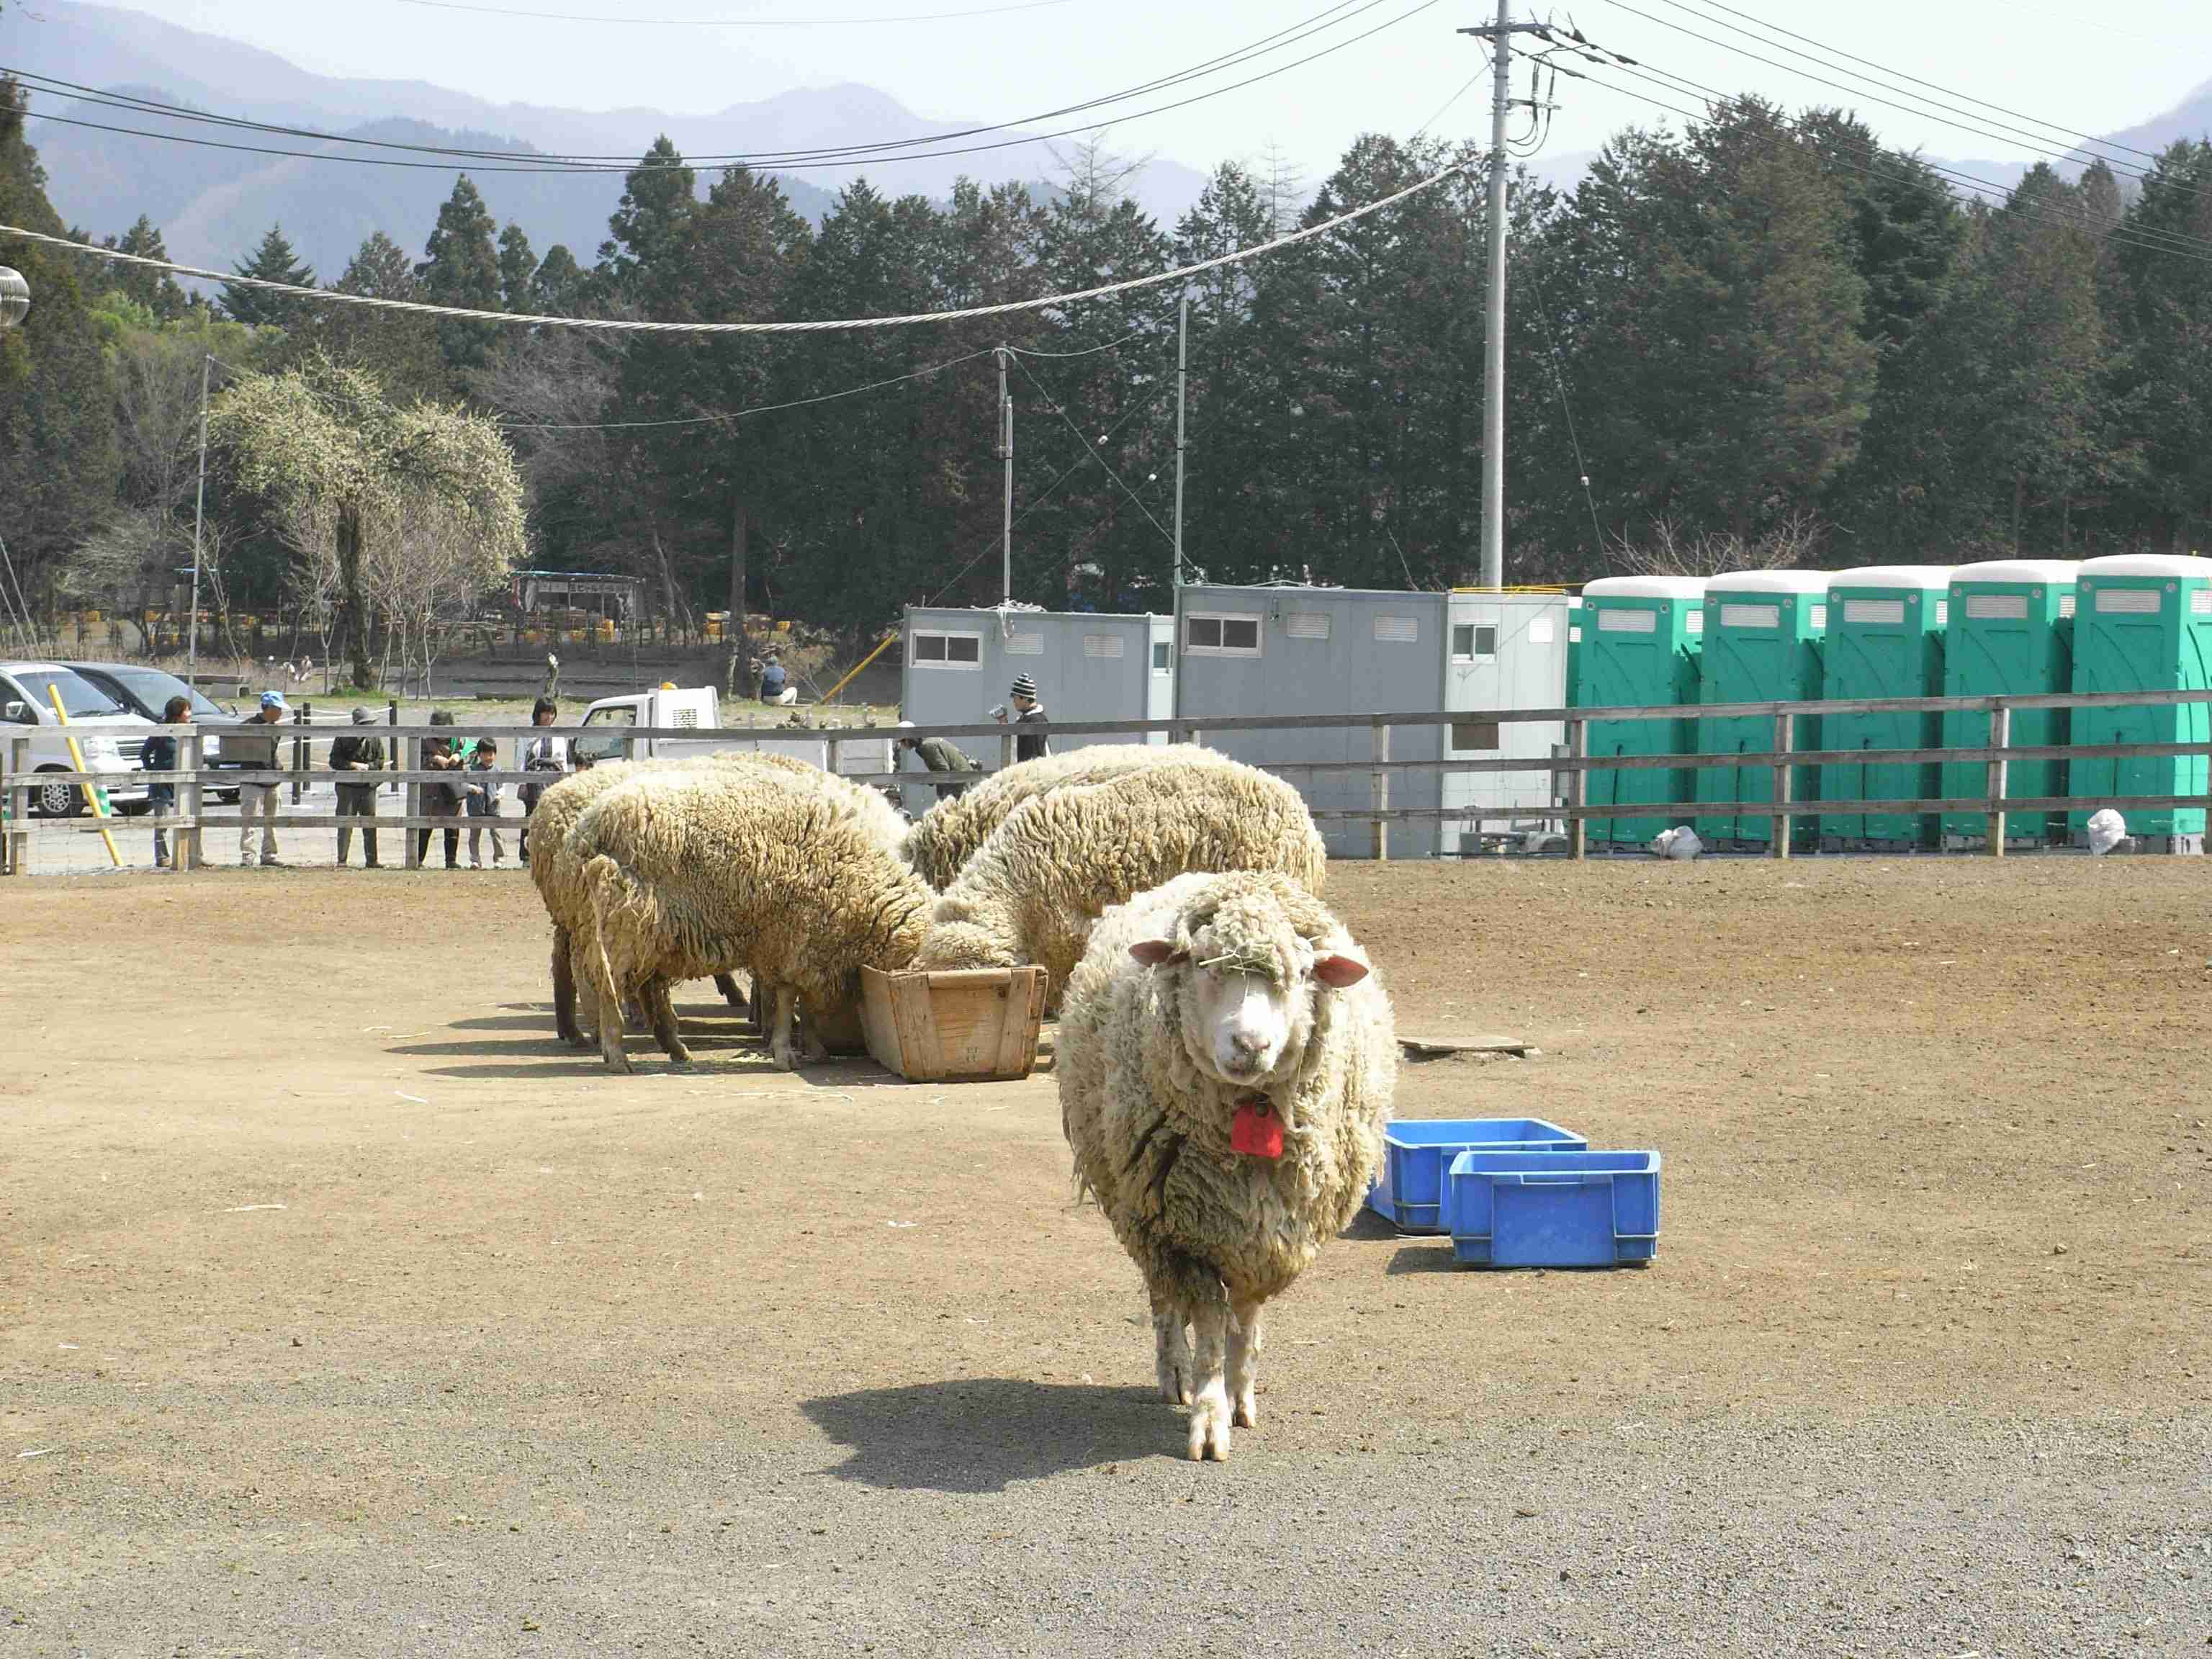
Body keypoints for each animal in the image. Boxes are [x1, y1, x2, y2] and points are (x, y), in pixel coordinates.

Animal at [570, 770, 933, 1079]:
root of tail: (589, 828)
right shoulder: (791, 936)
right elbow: (788, 999)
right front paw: (785, 1053)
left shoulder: (805, 944)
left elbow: (803, 1001)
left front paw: (814, 1048)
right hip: (625, 929)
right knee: (608, 990)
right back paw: (617, 1056)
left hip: (632, 934)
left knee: (620, 986)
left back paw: (649, 1049)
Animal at [1057, 871, 1398, 1468]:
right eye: (1202, 964)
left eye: (1302, 974)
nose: (1251, 1044)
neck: (1250, 1111)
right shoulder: (1185, 1234)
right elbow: (1212, 1332)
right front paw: (1210, 1419)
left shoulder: (1264, 1234)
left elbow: (1245, 1321)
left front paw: (1241, 1395)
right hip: (1141, 1215)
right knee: (1163, 1300)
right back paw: (1173, 1371)